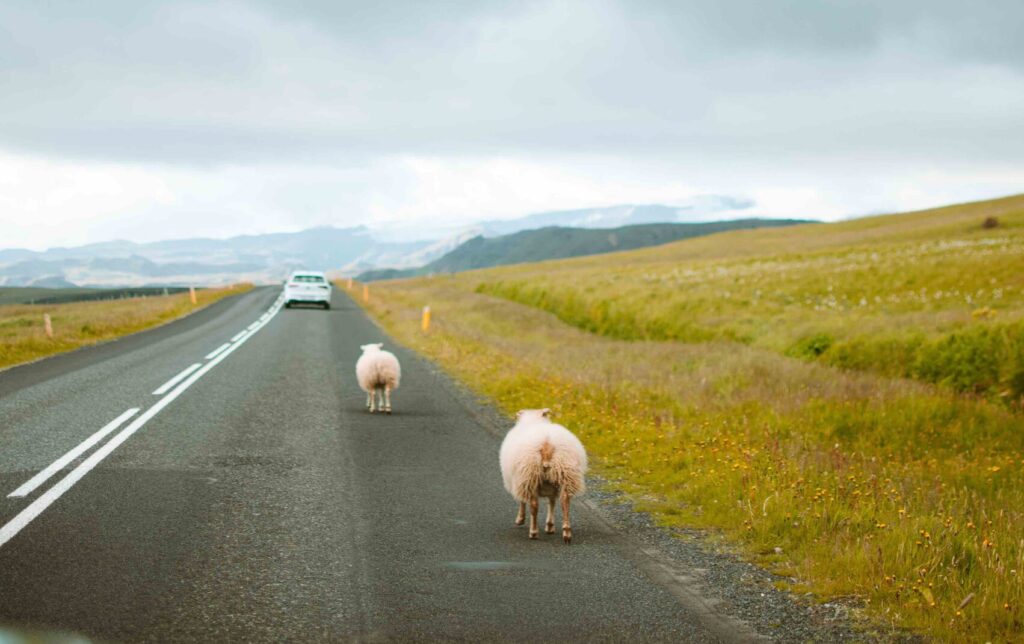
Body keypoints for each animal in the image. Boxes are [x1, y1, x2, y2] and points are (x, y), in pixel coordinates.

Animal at [499, 407, 589, 540]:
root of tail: (547, 444)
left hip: (530, 475)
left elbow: (522, 500)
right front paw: (550, 526)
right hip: (565, 474)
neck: (533, 421)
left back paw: (533, 532)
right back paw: (566, 532)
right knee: (565, 501)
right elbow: (551, 502)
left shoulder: (520, 479)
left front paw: (520, 519)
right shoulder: (551, 485)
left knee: (534, 505)